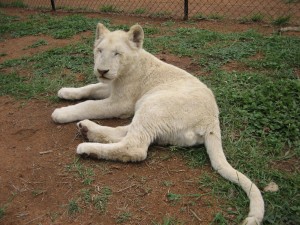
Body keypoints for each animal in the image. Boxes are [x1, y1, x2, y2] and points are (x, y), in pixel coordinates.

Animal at [52, 23, 264, 224]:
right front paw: (66, 91)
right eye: (99, 51)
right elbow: (90, 88)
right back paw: (87, 129)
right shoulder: (111, 89)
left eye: (117, 53)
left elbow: (89, 105)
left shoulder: (120, 103)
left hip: (154, 104)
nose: (102, 71)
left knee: (135, 147)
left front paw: (61, 113)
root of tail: (211, 121)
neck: (126, 70)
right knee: (127, 132)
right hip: (150, 111)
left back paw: (87, 147)